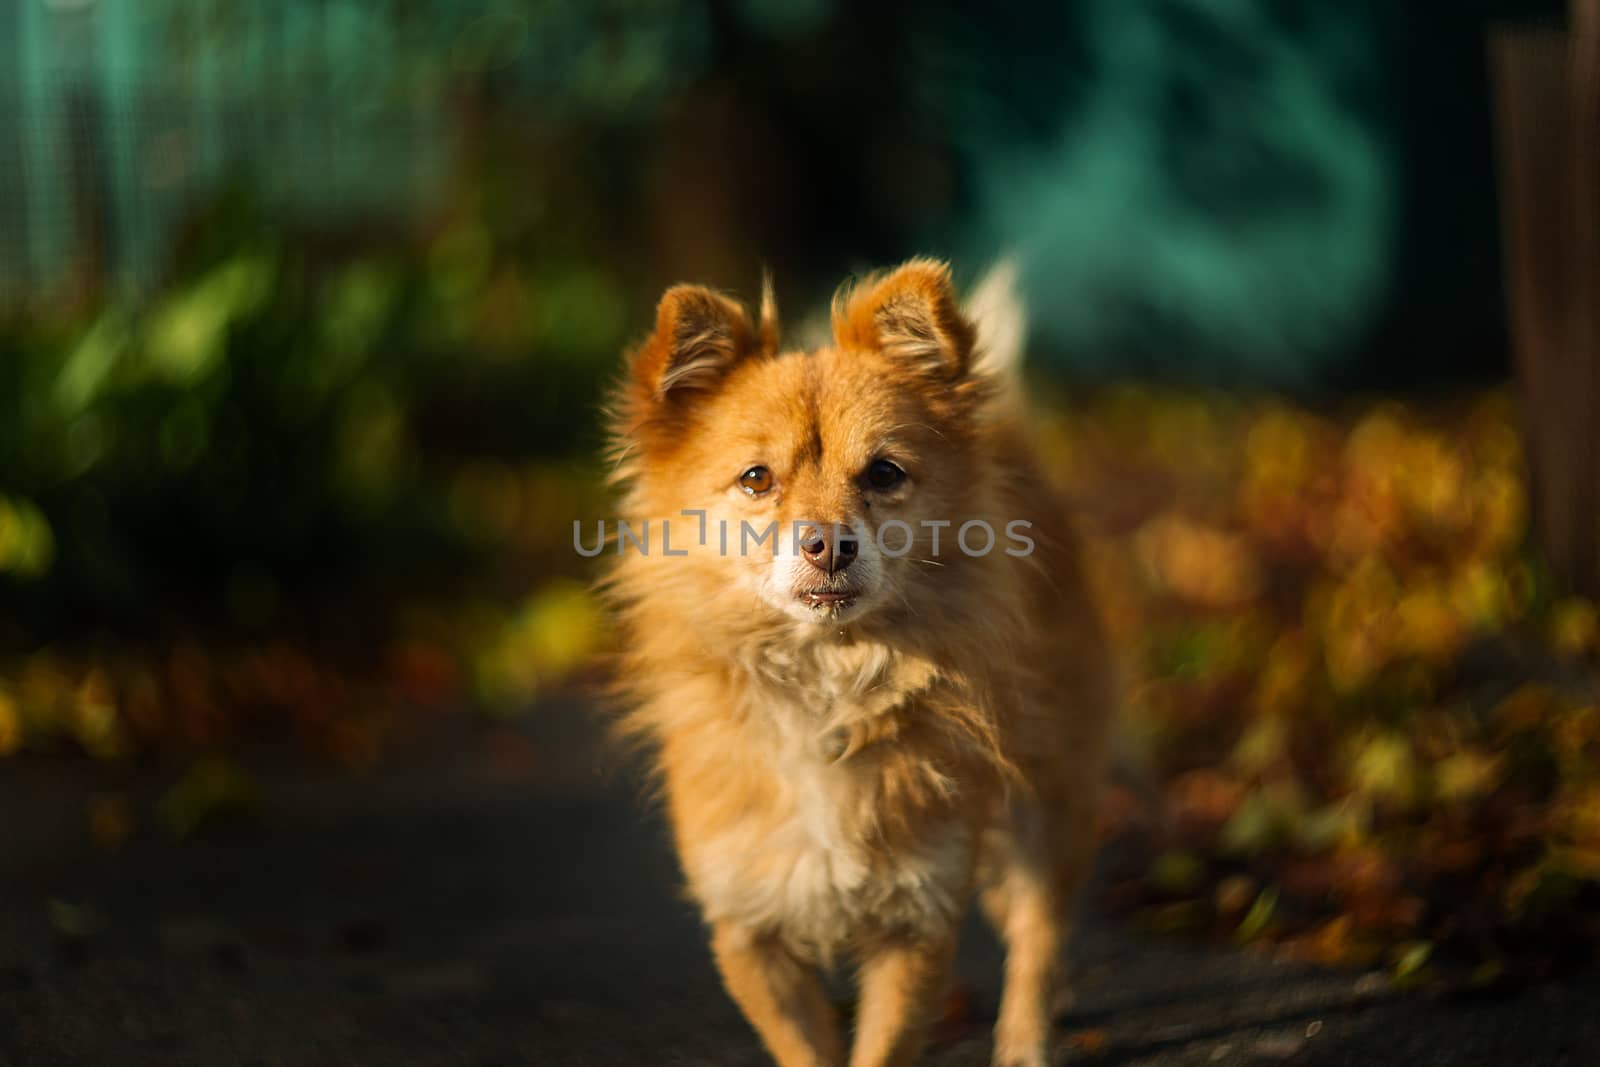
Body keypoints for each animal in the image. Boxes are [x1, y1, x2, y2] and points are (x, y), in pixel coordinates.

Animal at [604, 260, 1120, 1067]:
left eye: (883, 473)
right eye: (756, 479)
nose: (830, 544)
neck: (828, 681)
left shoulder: (919, 916)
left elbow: (884, 1044)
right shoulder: (749, 928)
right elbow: (805, 1048)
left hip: (1049, 797)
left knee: (1039, 926)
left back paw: (1028, 1036)